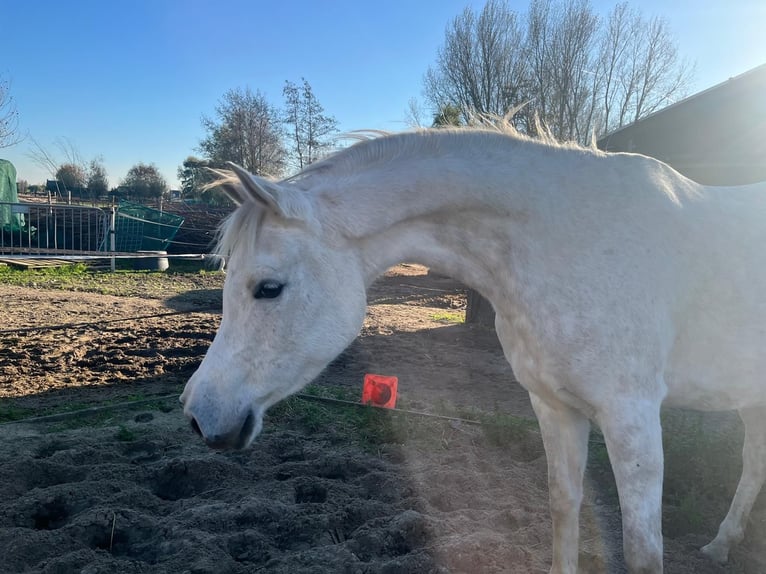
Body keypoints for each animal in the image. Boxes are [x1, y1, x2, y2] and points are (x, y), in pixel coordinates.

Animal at [180, 123, 766, 573]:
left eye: (268, 288)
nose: (199, 415)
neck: (569, 240)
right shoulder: (554, 406)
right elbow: (563, 507)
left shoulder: (632, 418)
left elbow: (643, 552)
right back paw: (721, 545)